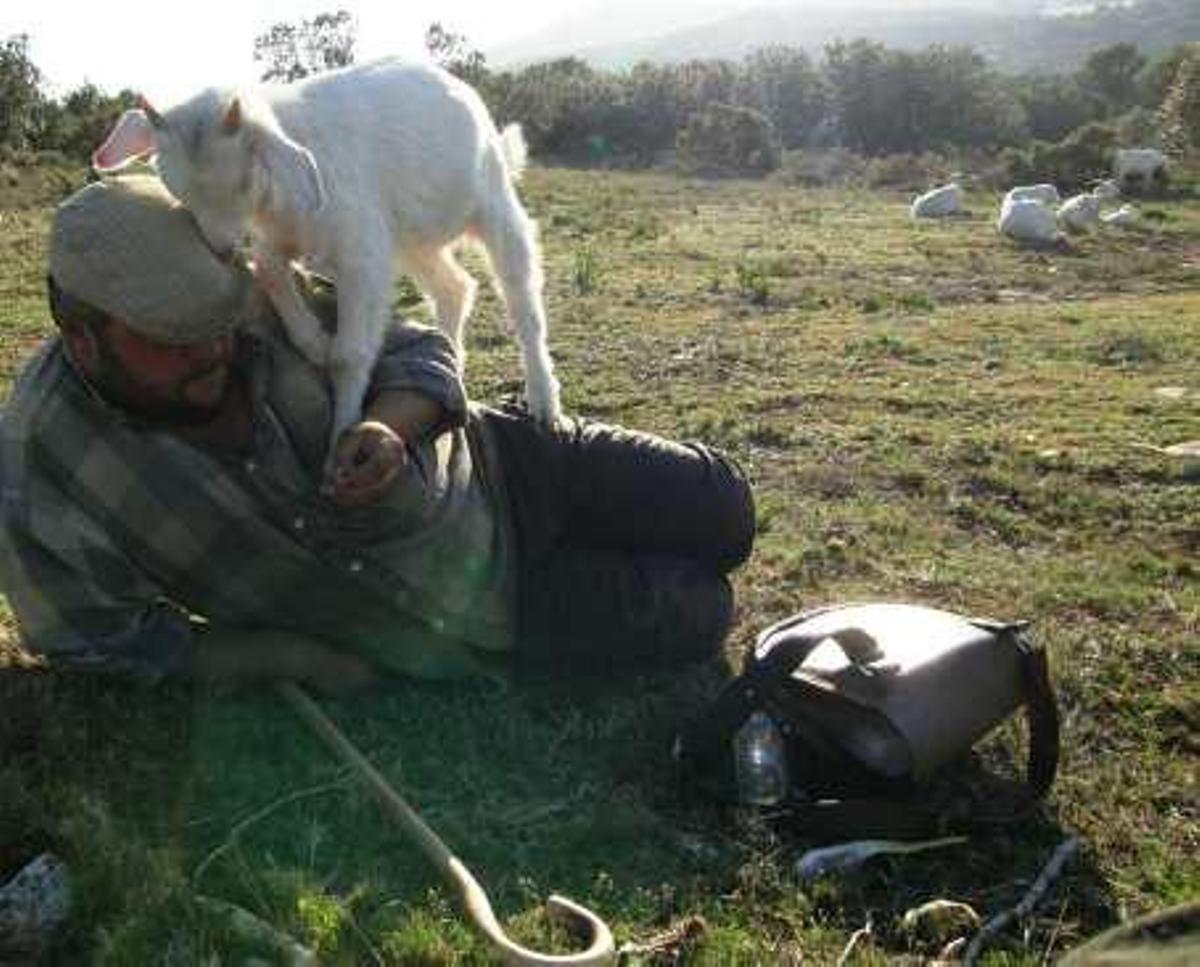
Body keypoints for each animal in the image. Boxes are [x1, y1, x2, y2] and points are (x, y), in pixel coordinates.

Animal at [91, 57, 561, 478]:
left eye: (242, 182)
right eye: (178, 190)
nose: (221, 248)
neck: (277, 201)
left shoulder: (362, 257)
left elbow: (351, 356)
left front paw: (343, 437)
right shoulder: (280, 240)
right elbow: (269, 271)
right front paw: (315, 343)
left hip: (495, 205)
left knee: (523, 298)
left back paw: (543, 400)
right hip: (411, 238)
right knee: (454, 287)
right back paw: (454, 362)